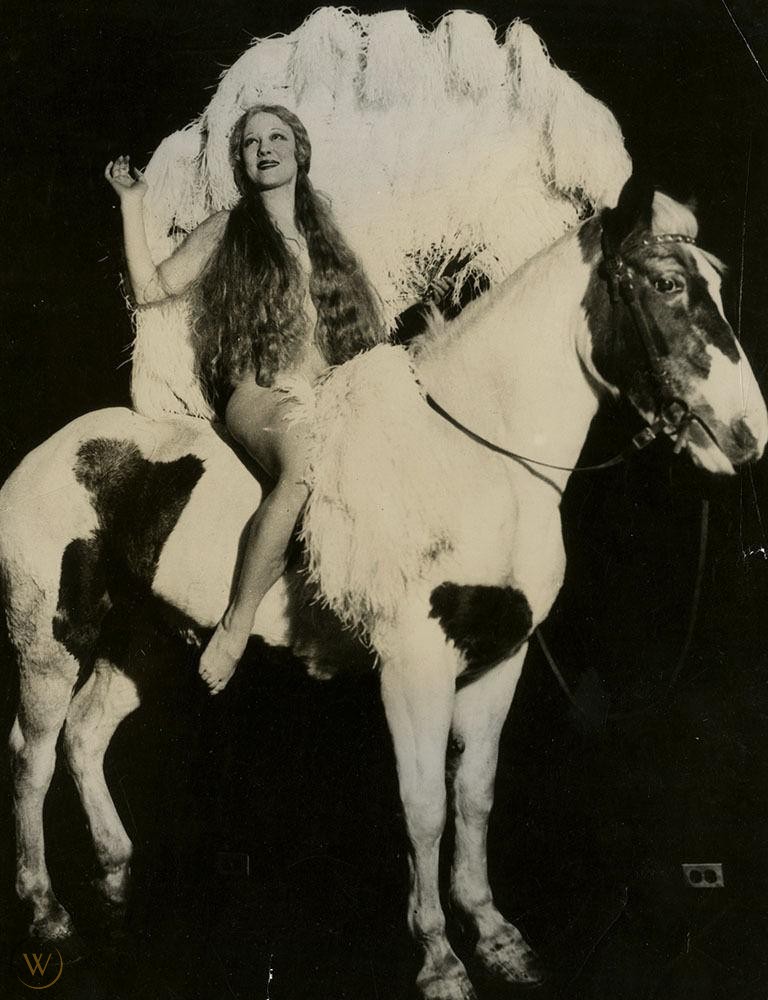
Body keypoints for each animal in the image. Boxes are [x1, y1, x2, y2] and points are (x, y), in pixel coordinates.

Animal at [2, 175, 765, 1000]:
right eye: (665, 284)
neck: (482, 461)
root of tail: (41, 460)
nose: (746, 437)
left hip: (142, 642)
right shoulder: (415, 665)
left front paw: (496, 936)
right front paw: (439, 959)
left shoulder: (499, 661)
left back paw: (115, 878)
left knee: (86, 735)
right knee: (32, 757)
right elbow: (424, 806)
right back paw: (47, 912)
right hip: (49, 644)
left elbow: (475, 795)